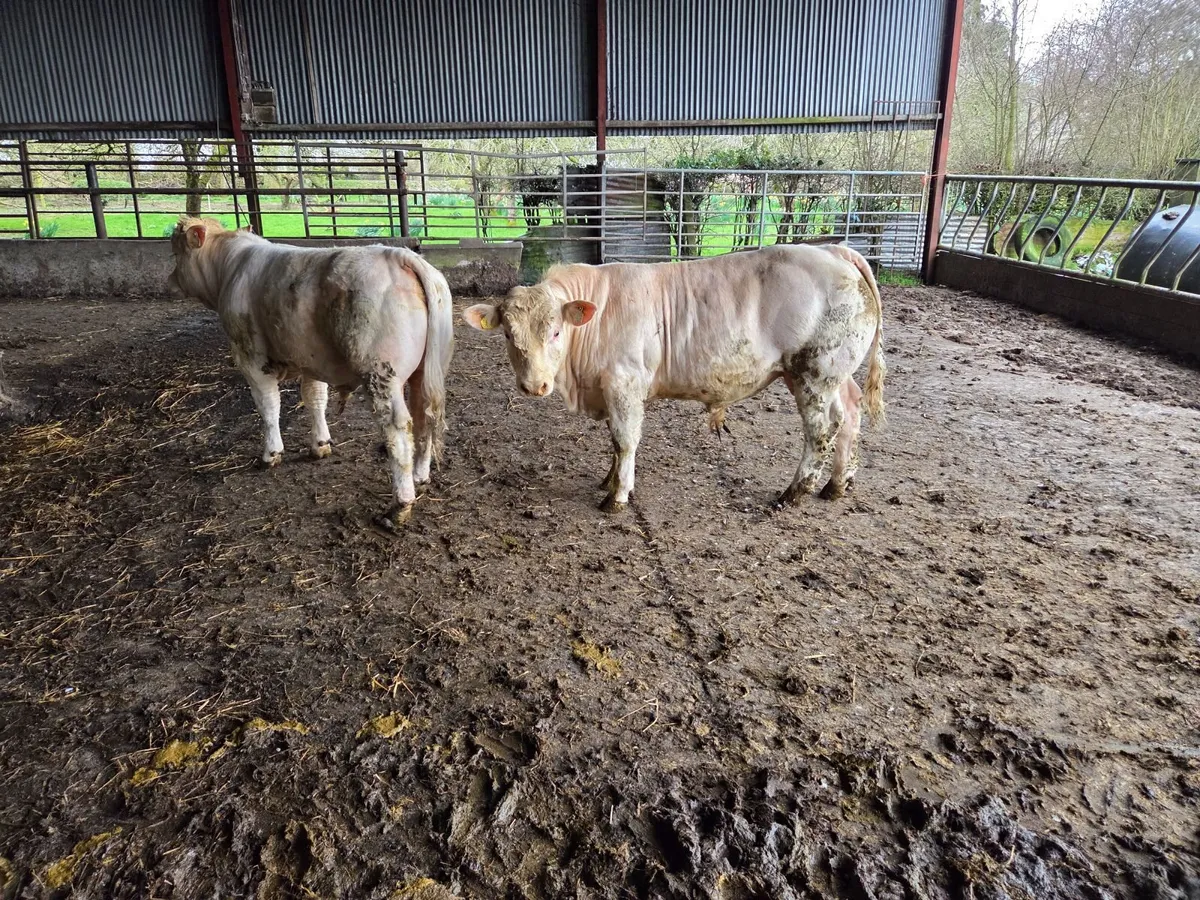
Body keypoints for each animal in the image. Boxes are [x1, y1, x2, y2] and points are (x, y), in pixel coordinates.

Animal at [168, 218, 454, 529]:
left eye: (177, 251)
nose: (170, 280)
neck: (231, 266)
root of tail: (399, 255)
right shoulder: (312, 360)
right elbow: (315, 398)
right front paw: (320, 444)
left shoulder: (250, 358)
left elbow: (268, 406)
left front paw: (271, 453)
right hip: (427, 372)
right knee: (426, 417)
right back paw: (420, 476)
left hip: (381, 375)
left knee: (398, 431)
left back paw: (399, 506)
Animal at [463, 243, 884, 511]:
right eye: (507, 334)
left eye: (554, 332)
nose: (534, 385)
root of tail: (833, 250)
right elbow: (615, 442)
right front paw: (609, 479)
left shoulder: (625, 382)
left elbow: (625, 439)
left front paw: (617, 496)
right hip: (832, 374)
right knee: (850, 413)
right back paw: (836, 485)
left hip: (815, 372)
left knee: (821, 430)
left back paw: (794, 493)